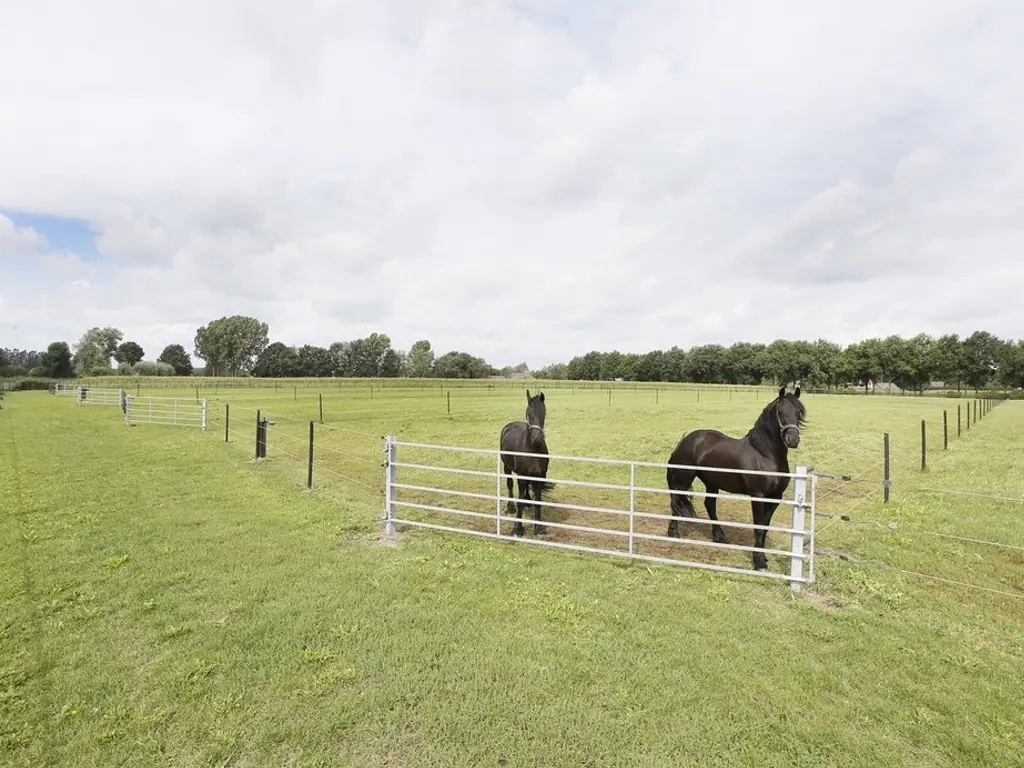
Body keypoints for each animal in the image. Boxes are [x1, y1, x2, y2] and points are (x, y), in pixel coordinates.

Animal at [501, 391, 557, 536]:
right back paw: (510, 507)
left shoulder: (540, 476)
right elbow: (519, 501)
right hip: (506, 467)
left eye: (543, 413)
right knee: (509, 484)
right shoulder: (521, 476)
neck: (532, 448)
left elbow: (538, 501)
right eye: (529, 413)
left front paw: (538, 527)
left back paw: (527, 501)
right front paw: (517, 528)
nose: (537, 438)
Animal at [663, 385, 806, 573]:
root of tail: (685, 440)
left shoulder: (775, 497)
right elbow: (758, 527)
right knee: (677, 500)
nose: (793, 440)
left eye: (799, 412)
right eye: (780, 412)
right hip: (683, 478)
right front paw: (759, 562)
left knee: (709, 505)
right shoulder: (758, 496)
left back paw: (720, 536)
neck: (765, 454)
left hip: (712, 483)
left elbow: (765, 527)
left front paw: (762, 558)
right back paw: (673, 533)